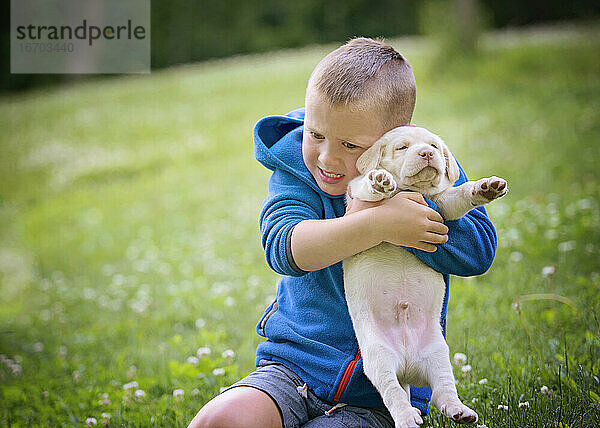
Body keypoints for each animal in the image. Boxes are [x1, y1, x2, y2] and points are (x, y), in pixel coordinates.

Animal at [342, 125, 506, 426]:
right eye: (402, 147)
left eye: (434, 145)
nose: (428, 153)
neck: (409, 189)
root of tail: (406, 366)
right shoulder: (356, 193)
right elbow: (368, 188)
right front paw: (380, 180)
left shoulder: (441, 203)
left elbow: (459, 194)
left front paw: (484, 187)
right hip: (379, 358)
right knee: (393, 392)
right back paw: (407, 416)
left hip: (438, 355)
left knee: (442, 392)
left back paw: (459, 410)